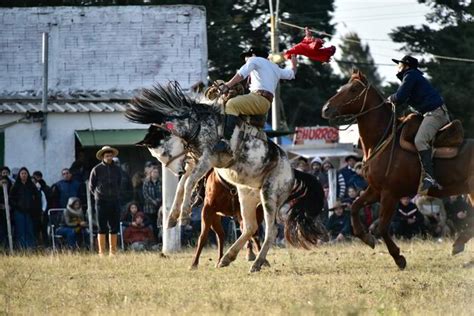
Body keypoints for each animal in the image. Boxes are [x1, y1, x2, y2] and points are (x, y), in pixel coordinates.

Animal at [322, 69, 474, 270]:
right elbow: (354, 207)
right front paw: (367, 238)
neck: (384, 138)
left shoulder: (390, 194)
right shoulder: (375, 190)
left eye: (353, 89)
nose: (325, 109)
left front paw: (398, 257)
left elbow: (381, 227)